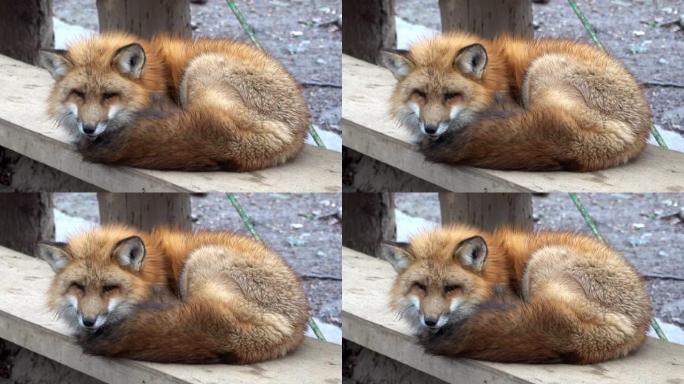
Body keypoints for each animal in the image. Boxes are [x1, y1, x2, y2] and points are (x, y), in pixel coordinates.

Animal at [38, 33, 312, 171]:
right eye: (78, 93)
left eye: (109, 95)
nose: (89, 128)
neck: (157, 77)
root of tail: (293, 133)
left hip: (199, 70)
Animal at [382, 33, 656, 171]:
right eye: (420, 94)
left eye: (451, 95)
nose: (430, 128)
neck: (500, 78)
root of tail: (634, 133)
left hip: (541, 70)